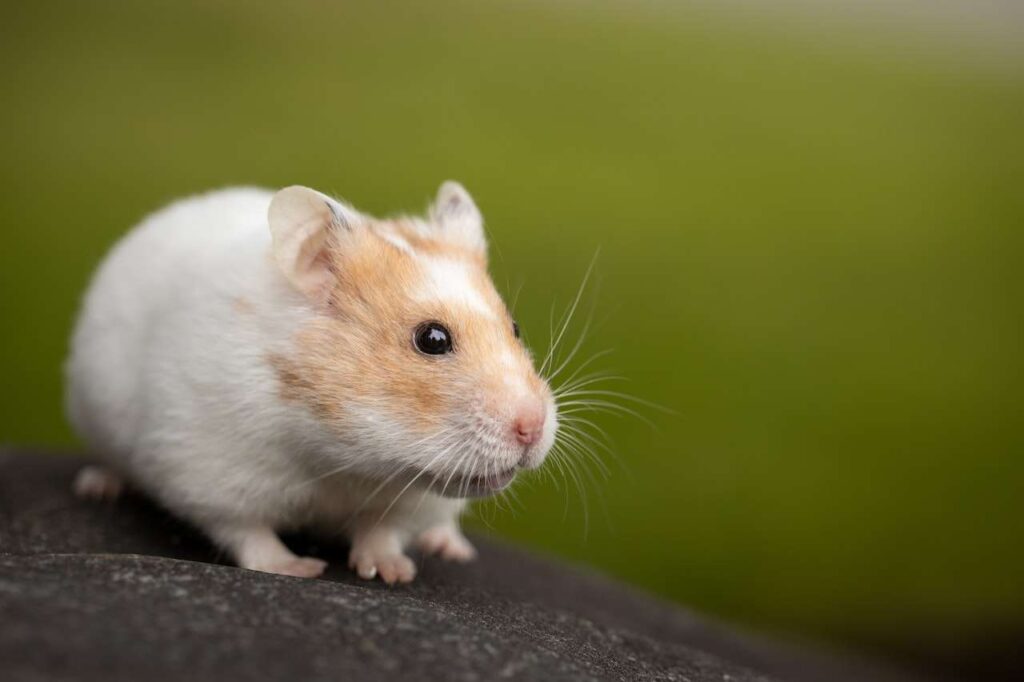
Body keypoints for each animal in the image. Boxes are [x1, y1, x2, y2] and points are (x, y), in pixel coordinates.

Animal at [65, 182, 557, 583]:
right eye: (432, 339)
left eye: (515, 328)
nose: (532, 429)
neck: (343, 459)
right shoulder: (208, 470)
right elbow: (247, 532)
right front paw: (300, 569)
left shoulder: (409, 501)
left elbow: (382, 530)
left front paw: (393, 573)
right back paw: (98, 486)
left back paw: (449, 546)